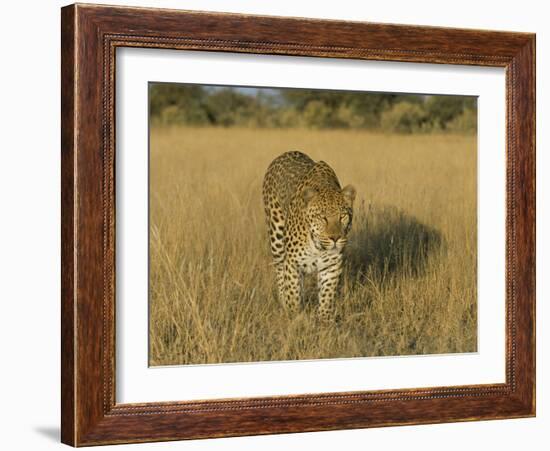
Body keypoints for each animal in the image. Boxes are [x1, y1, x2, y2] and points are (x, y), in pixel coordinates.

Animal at [264, 152, 358, 322]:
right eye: (322, 217)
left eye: (342, 216)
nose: (335, 238)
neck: (317, 245)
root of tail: (286, 153)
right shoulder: (293, 264)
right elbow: (293, 294)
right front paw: (294, 317)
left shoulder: (331, 265)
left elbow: (327, 296)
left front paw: (325, 321)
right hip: (276, 239)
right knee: (280, 271)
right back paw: (283, 302)